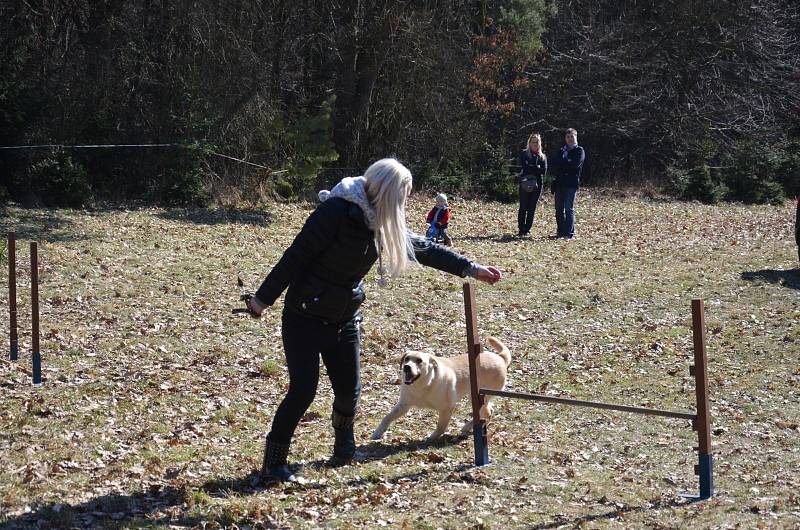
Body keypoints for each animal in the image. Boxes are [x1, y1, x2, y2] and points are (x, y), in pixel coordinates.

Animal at [372, 334, 510, 442]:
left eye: (419, 360)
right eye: (407, 359)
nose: (406, 367)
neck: (423, 386)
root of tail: (501, 358)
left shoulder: (447, 408)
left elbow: (440, 427)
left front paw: (432, 437)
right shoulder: (403, 405)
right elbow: (387, 417)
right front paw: (378, 432)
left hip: (477, 395)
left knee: (487, 412)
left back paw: (467, 427)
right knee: (489, 411)